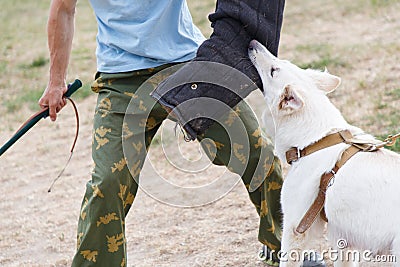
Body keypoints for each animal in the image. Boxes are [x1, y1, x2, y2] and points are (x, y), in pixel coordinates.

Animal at [248, 40, 398, 267]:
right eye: (283, 62)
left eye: (274, 70)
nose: (253, 43)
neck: (314, 142)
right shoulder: (342, 239)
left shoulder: (295, 226)